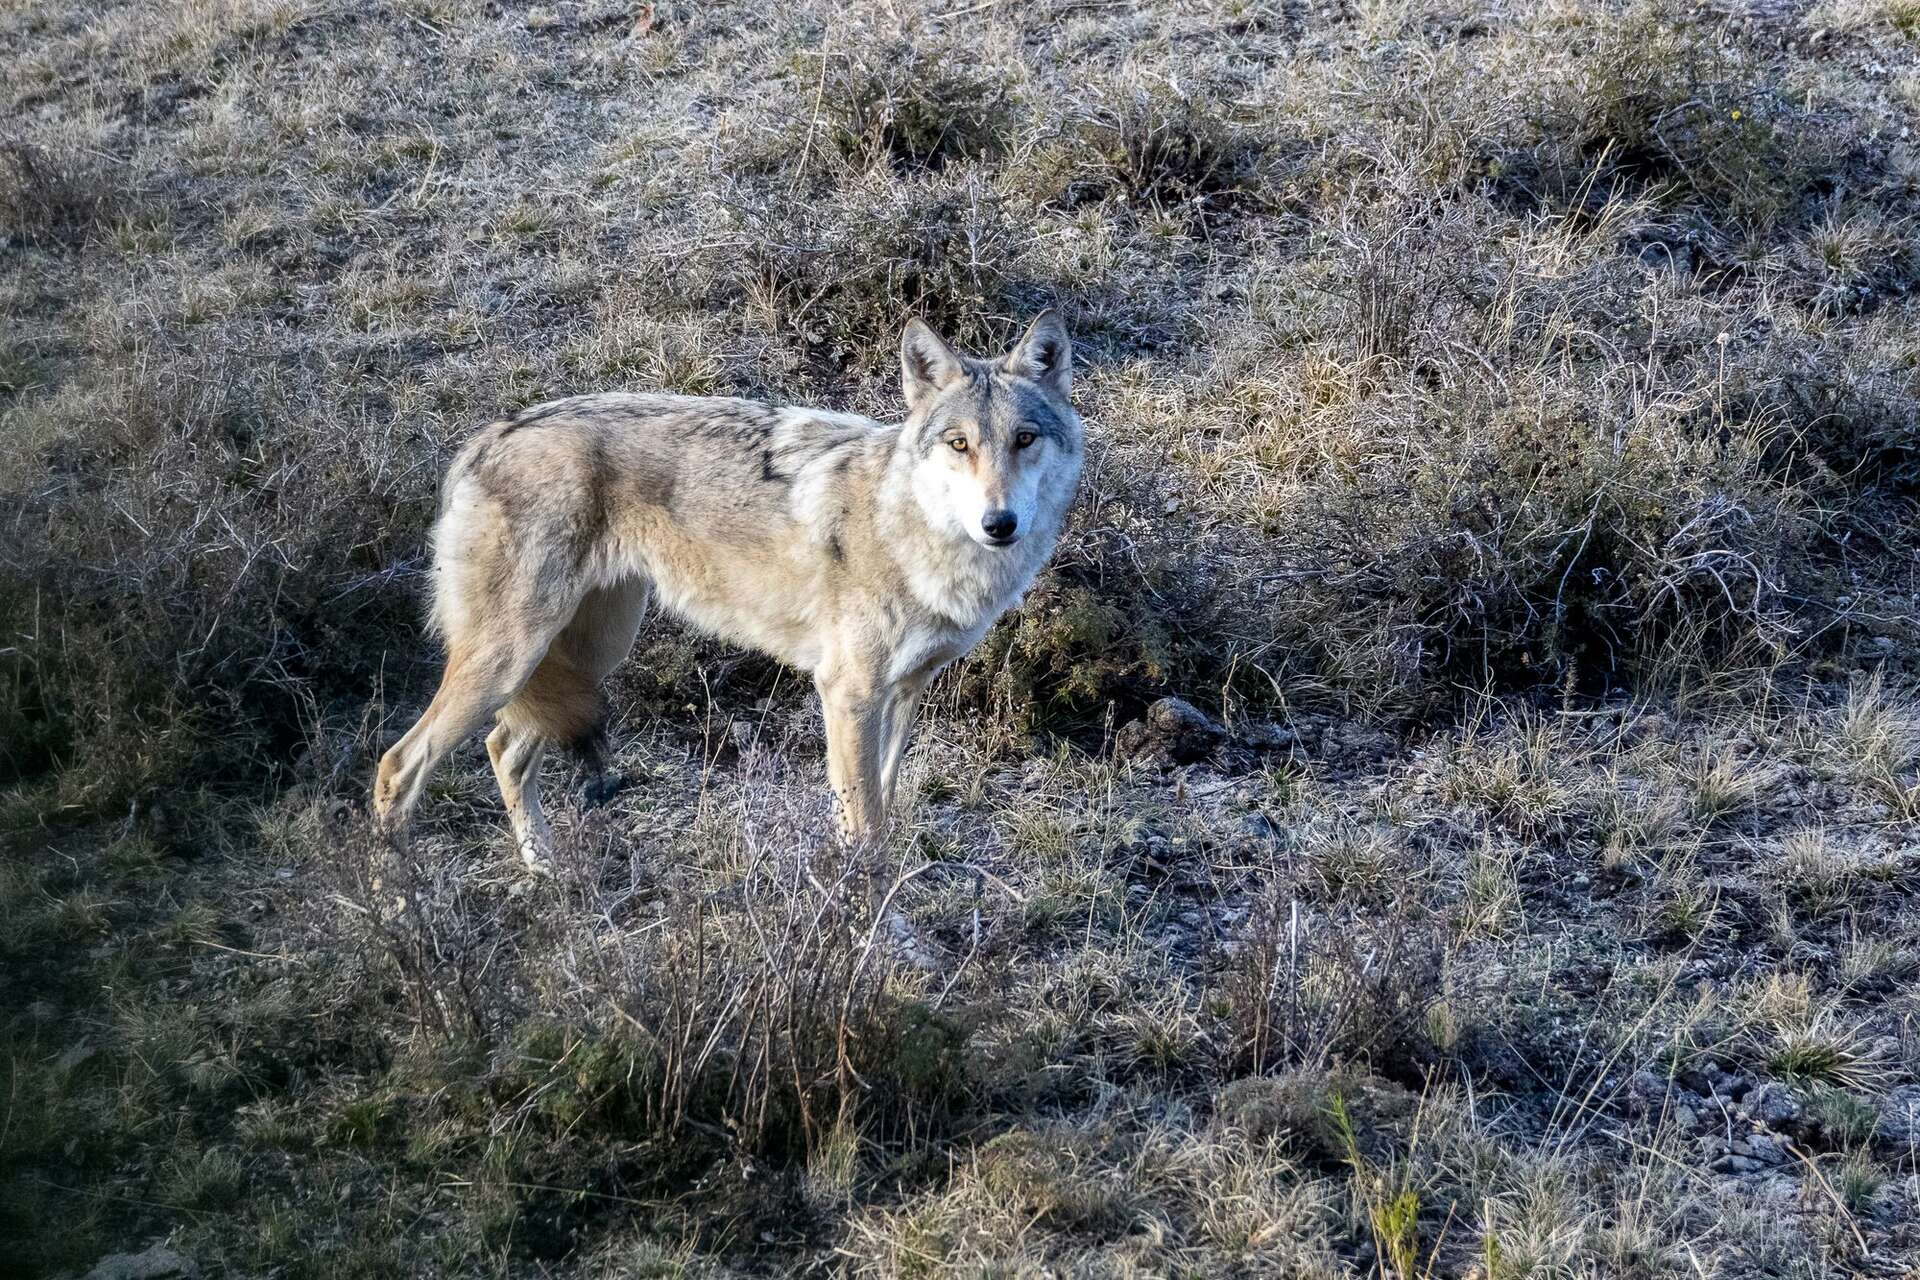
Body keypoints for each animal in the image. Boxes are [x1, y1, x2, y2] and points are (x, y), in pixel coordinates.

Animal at [370, 312, 1082, 871]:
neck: (908, 528)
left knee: (505, 749)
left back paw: (546, 873)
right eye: (960, 444)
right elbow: (867, 829)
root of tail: (485, 438)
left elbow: (876, 806)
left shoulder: (904, 692)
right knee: (397, 766)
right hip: (511, 658)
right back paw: (401, 920)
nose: (999, 523)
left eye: (1023, 439)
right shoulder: (848, 694)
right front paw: (879, 932)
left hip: (587, 653)